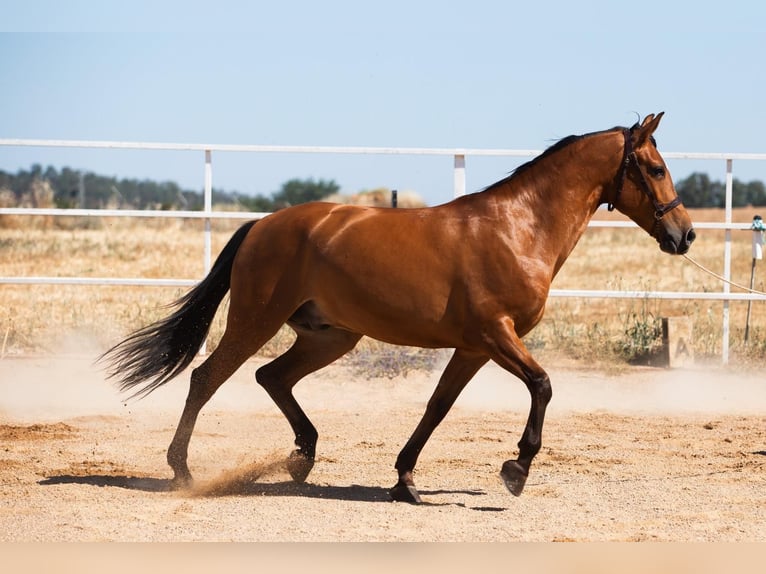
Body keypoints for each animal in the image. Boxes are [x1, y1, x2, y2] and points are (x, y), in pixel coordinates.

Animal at [100, 112, 696, 504]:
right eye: (655, 167)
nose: (684, 234)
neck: (518, 228)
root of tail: (262, 224)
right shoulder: (496, 334)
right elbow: (543, 385)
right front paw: (516, 469)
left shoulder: (474, 347)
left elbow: (437, 407)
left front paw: (405, 480)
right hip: (256, 320)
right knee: (207, 379)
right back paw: (182, 471)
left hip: (331, 335)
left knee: (272, 377)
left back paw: (302, 457)